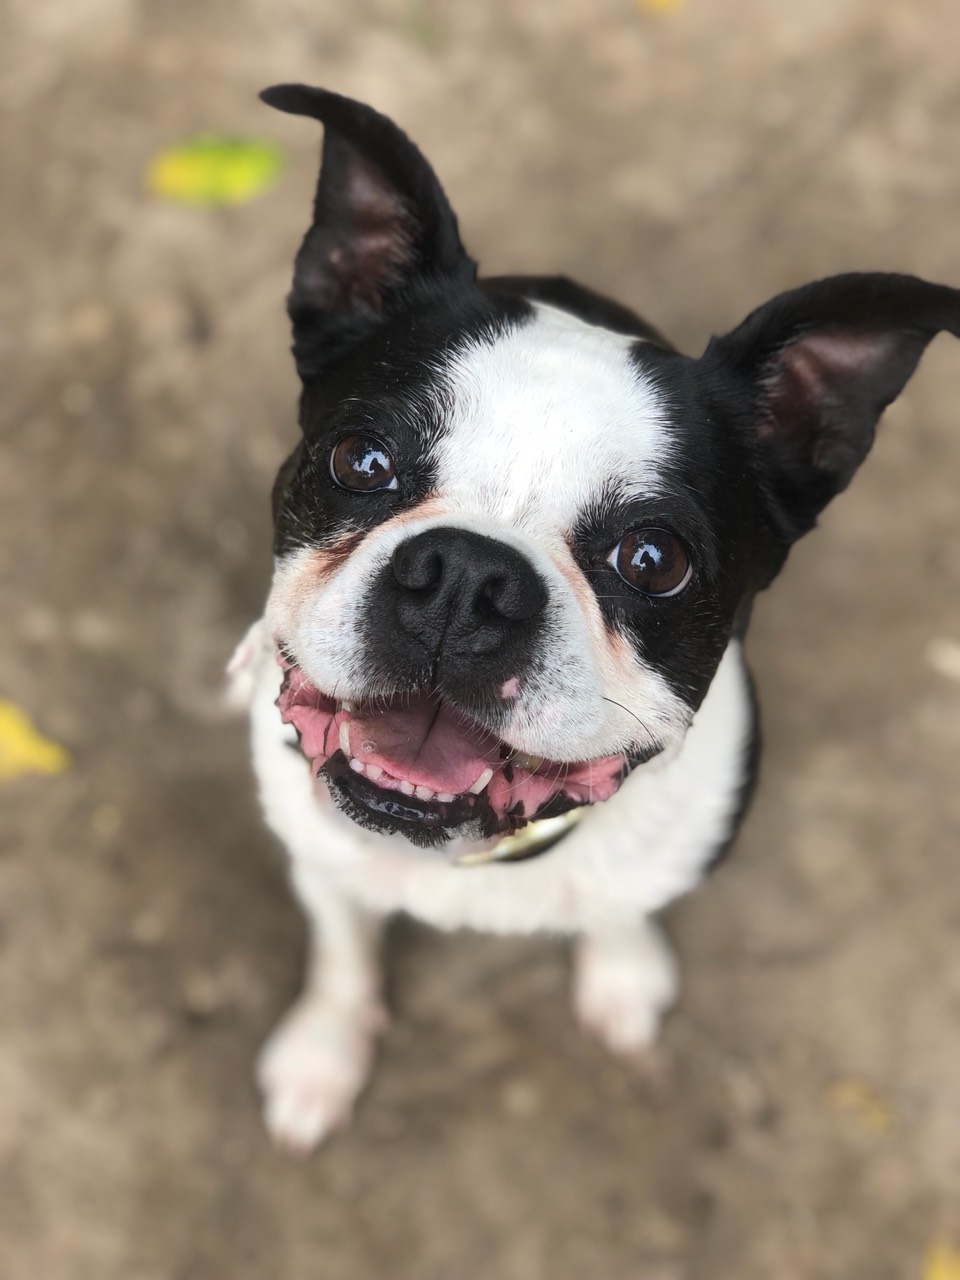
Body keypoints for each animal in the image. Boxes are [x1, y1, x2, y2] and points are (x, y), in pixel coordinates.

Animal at [228, 83, 960, 1151]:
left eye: (655, 561)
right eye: (360, 461)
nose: (466, 576)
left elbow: (622, 908)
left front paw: (622, 975)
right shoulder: (319, 853)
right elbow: (343, 945)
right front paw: (324, 1050)